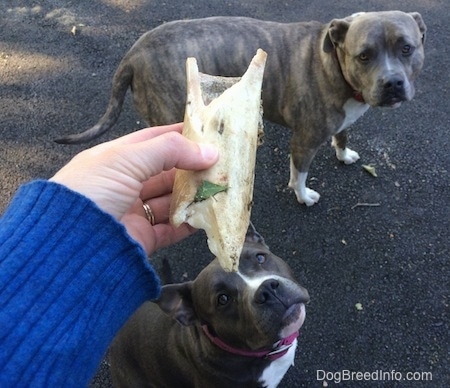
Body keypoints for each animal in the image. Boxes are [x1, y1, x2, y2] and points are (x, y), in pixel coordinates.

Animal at [58, 11, 428, 206]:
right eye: (364, 55)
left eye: (406, 48)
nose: (392, 83)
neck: (333, 61)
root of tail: (133, 54)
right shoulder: (304, 141)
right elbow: (299, 174)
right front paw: (303, 195)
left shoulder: (342, 120)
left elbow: (343, 135)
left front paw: (344, 154)